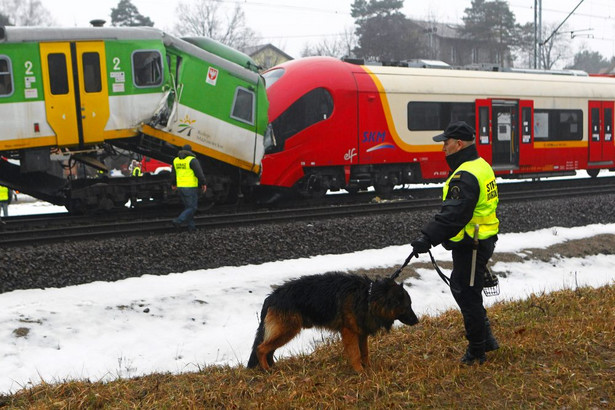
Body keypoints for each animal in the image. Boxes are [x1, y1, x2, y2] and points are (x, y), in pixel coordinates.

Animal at [248, 272, 422, 372]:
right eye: (407, 306)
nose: (417, 321)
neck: (368, 297)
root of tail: (272, 297)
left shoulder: (361, 333)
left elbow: (365, 352)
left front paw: (368, 368)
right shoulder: (349, 333)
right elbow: (356, 354)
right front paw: (360, 372)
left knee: (268, 350)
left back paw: (272, 367)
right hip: (287, 331)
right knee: (261, 349)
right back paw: (266, 370)